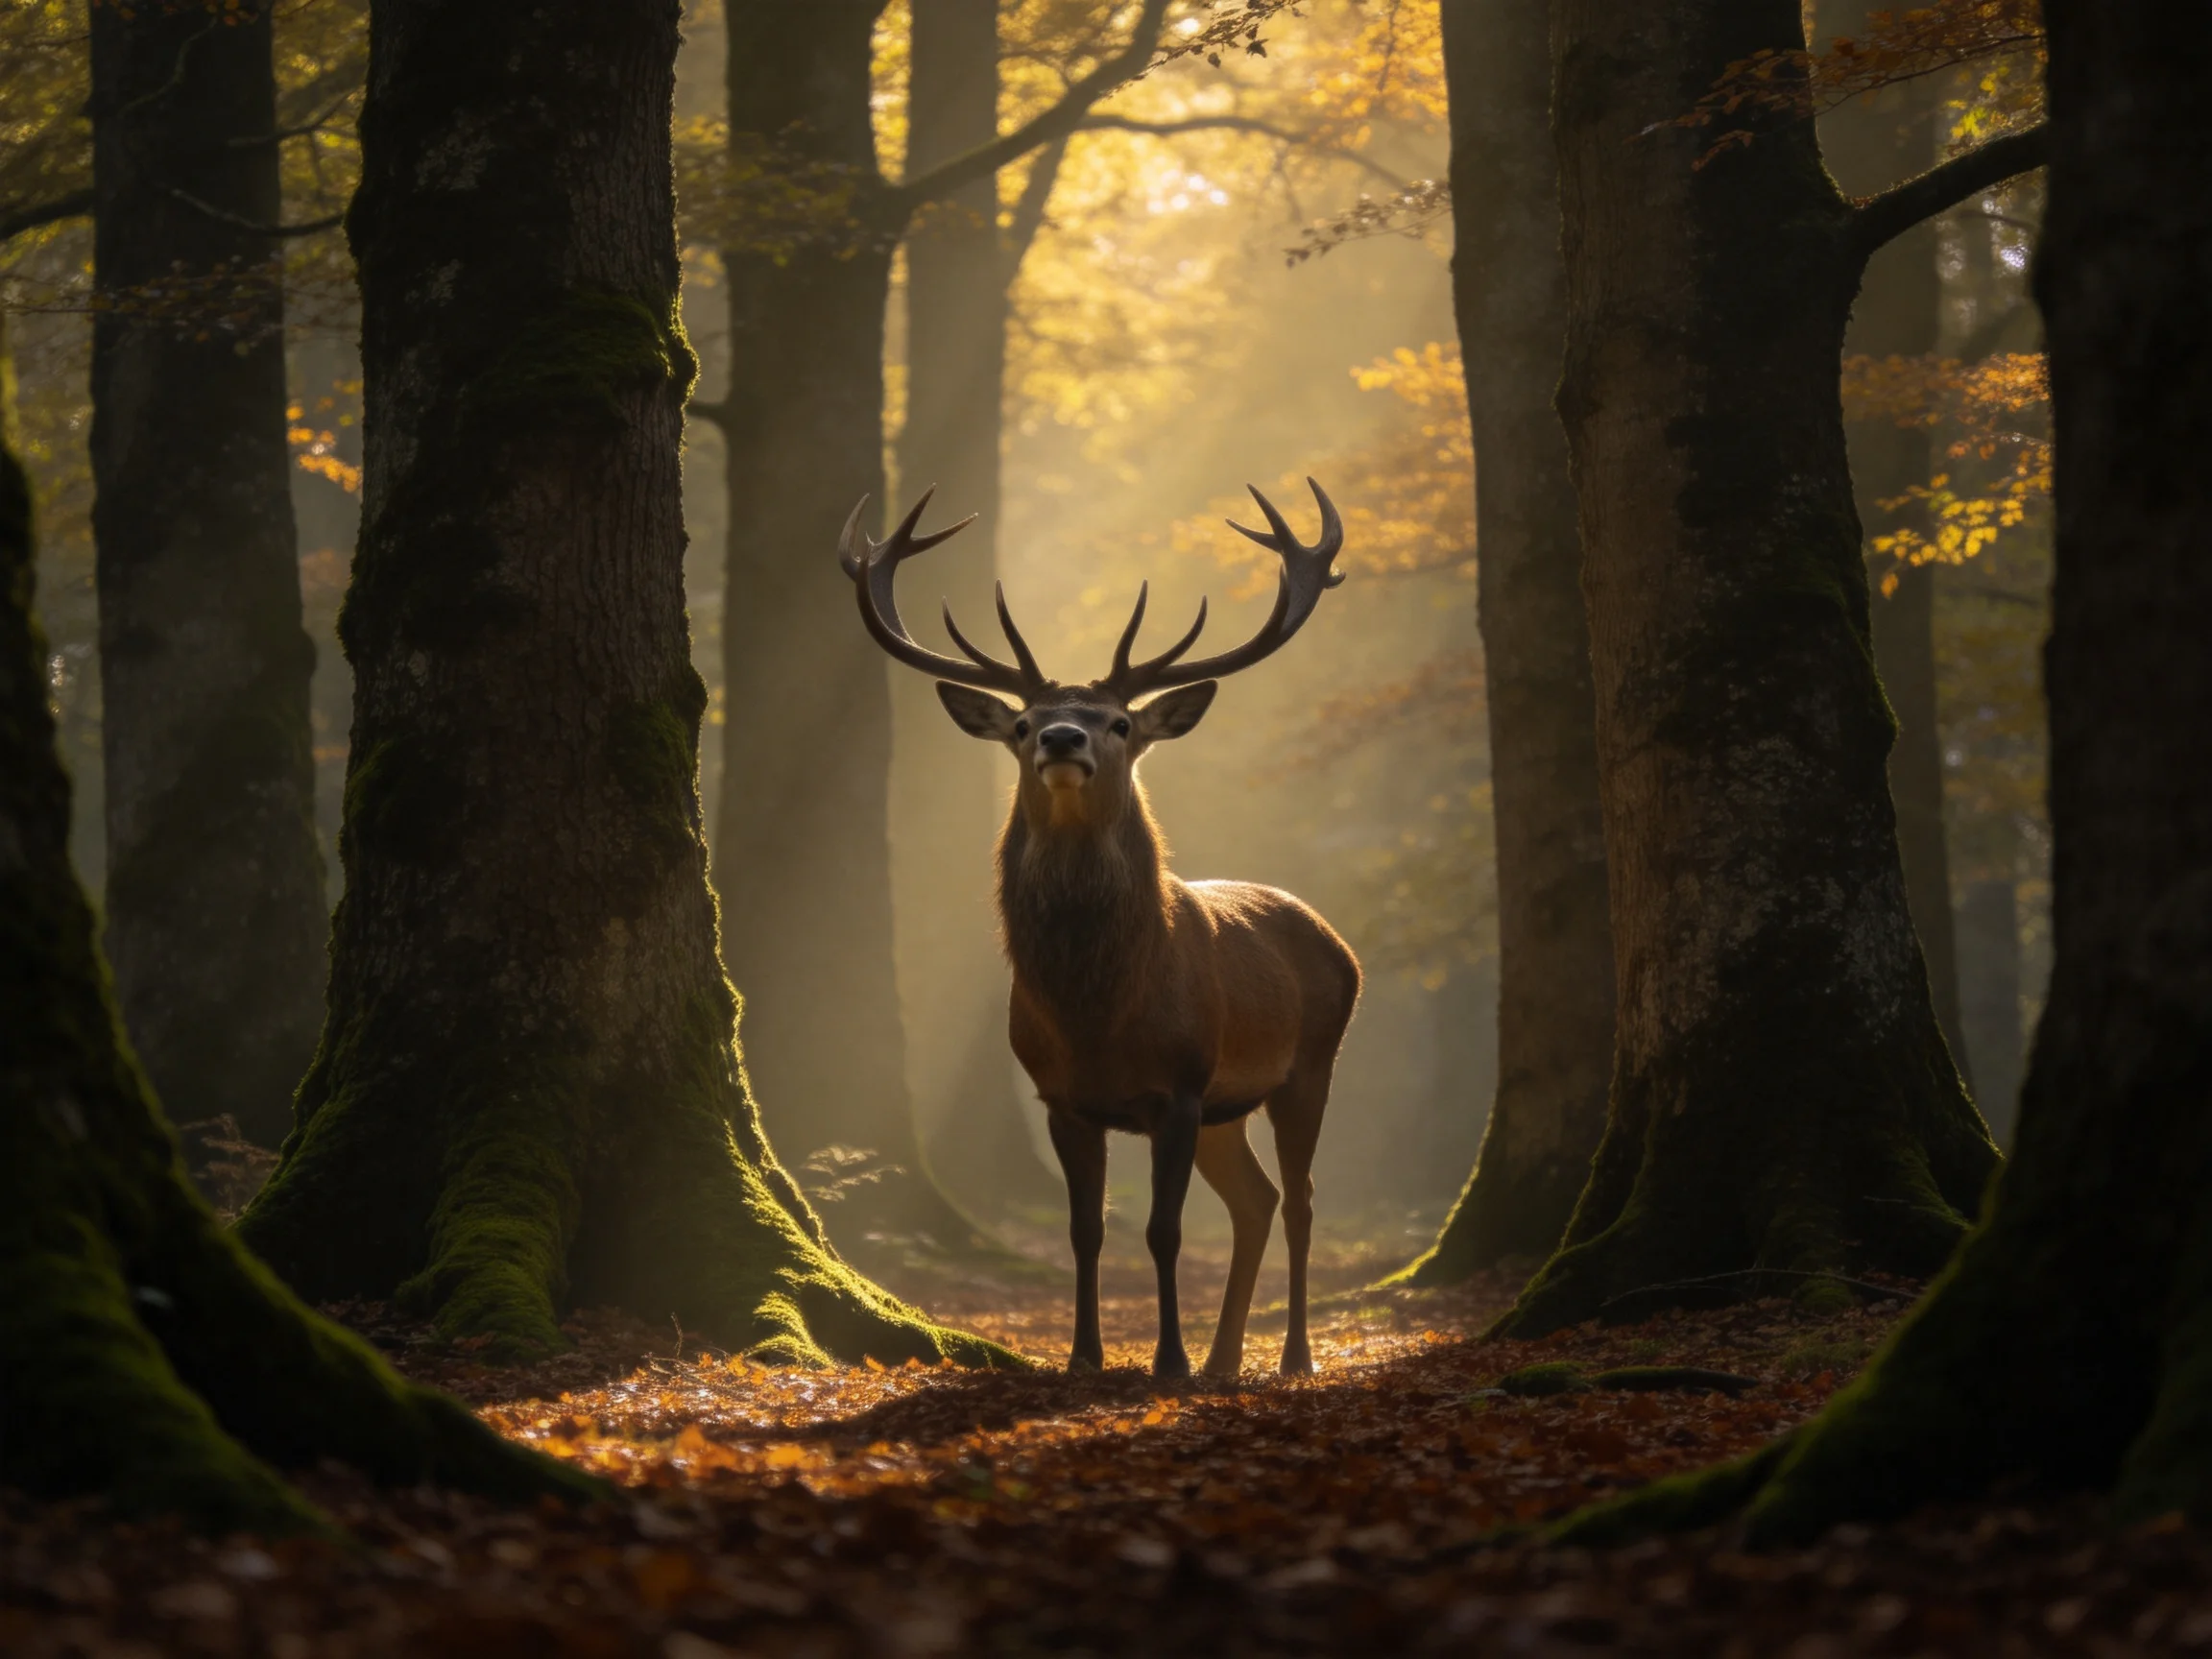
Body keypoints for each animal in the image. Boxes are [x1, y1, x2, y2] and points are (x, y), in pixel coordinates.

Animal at [839, 480, 1361, 1380]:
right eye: (1021, 724)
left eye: (1120, 722)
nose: (1061, 736)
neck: (1095, 1013)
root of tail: (1339, 942)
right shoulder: (1063, 1096)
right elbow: (1088, 1232)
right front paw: (1086, 1358)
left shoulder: (1181, 1086)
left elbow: (1162, 1231)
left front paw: (1168, 1362)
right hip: (1229, 1107)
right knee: (1256, 1199)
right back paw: (1226, 1361)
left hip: (1308, 1064)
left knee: (1298, 1199)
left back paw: (1290, 1357)